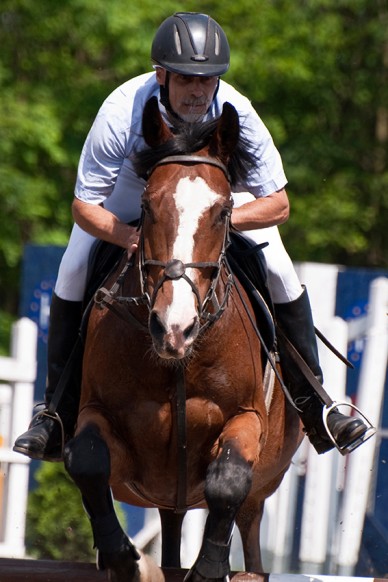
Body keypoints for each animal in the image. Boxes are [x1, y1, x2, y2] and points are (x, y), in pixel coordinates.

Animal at [63, 97, 304, 582]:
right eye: (146, 205)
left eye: (224, 211)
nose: (173, 328)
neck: (177, 360)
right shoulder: (101, 416)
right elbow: (89, 460)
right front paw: (124, 559)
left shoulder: (246, 418)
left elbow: (228, 481)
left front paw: (209, 568)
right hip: (165, 499)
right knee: (171, 527)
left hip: (264, 486)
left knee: (249, 529)